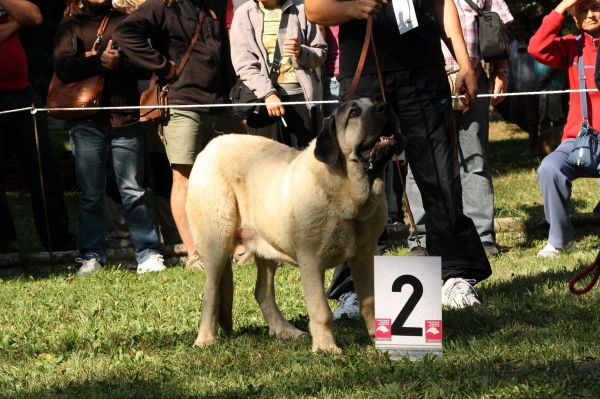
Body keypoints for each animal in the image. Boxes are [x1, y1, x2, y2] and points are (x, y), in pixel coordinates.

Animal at [188, 99, 404, 354]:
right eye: (354, 113)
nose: (385, 106)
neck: (348, 192)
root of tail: (210, 146)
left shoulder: (364, 256)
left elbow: (370, 302)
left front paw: (380, 341)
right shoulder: (311, 260)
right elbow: (321, 310)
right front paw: (325, 348)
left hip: (267, 245)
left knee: (262, 292)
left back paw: (285, 330)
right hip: (217, 243)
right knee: (210, 293)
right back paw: (205, 339)